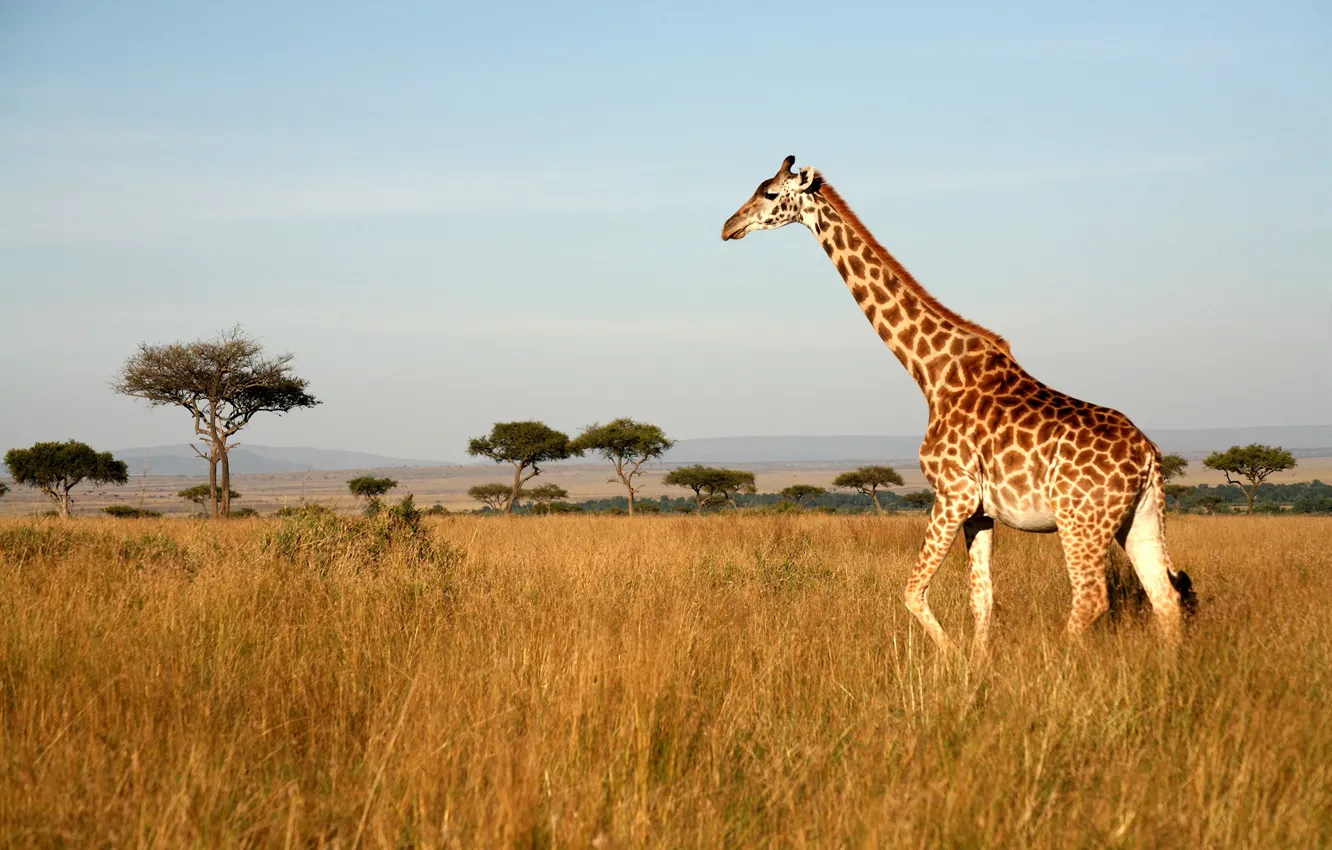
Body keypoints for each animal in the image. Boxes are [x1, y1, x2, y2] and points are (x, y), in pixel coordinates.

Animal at [722, 156, 1195, 656]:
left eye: (771, 193)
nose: (728, 226)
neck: (932, 373)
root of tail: (1149, 457)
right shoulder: (981, 511)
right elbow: (981, 598)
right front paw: (978, 662)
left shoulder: (953, 493)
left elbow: (912, 591)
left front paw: (951, 657)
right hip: (1140, 517)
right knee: (1163, 597)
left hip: (1080, 521)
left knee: (1091, 598)